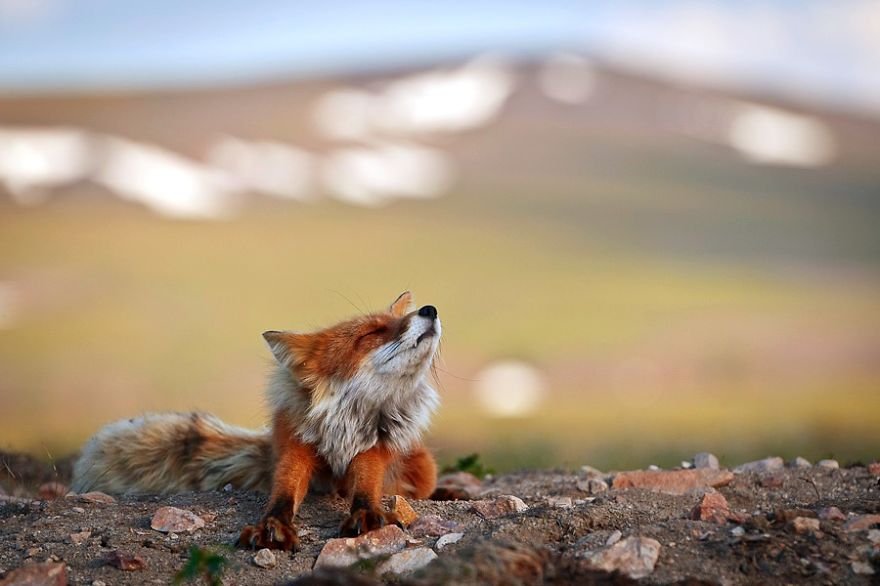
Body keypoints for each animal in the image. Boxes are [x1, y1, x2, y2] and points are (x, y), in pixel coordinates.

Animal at [71, 291, 442, 551]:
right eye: (373, 333)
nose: (430, 309)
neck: (345, 421)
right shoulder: (296, 444)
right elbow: (284, 491)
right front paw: (271, 526)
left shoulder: (372, 448)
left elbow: (366, 486)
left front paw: (365, 513)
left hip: (423, 467)